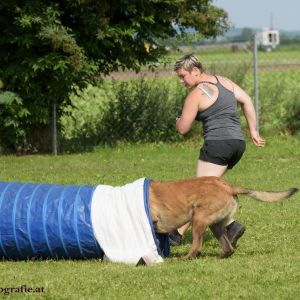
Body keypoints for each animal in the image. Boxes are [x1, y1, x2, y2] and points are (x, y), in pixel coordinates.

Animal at [149, 177, 298, 258]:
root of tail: (228, 186)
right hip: (215, 225)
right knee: (228, 249)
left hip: (198, 219)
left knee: (197, 247)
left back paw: (185, 258)